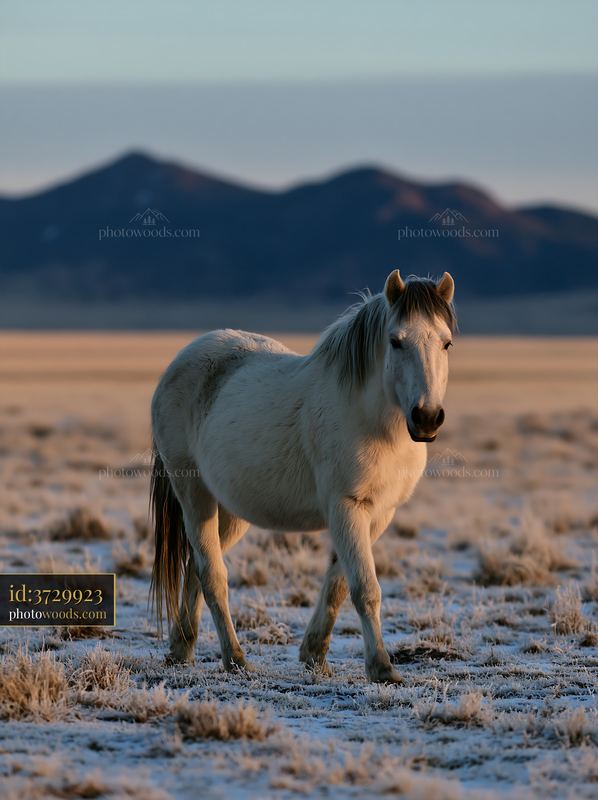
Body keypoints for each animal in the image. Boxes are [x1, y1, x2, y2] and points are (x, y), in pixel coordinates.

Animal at [150, 270, 456, 683]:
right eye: (396, 341)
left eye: (446, 343)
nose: (426, 418)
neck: (375, 422)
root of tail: (181, 360)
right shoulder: (346, 508)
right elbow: (365, 588)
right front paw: (381, 668)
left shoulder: (379, 513)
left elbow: (339, 584)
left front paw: (315, 656)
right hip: (194, 493)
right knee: (212, 574)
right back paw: (235, 659)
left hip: (228, 510)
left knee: (196, 569)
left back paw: (182, 648)